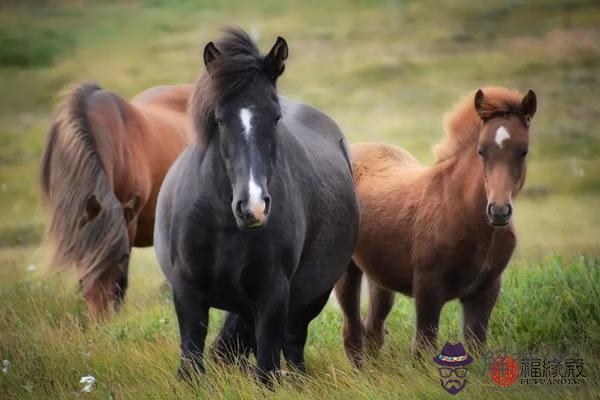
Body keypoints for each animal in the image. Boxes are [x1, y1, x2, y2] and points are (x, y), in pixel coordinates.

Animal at [155, 29, 358, 382]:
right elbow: (191, 363)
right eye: (220, 119)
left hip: (311, 298)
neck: (223, 224)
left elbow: (267, 369)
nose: (253, 207)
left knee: (293, 346)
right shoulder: (187, 291)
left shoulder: (273, 295)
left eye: (275, 117)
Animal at [338, 87, 540, 366]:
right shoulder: (428, 288)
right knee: (352, 332)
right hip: (346, 271)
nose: (499, 211)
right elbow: (423, 348)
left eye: (523, 151)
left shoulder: (485, 291)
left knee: (373, 329)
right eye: (481, 151)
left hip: (379, 276)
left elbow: (476, 347)